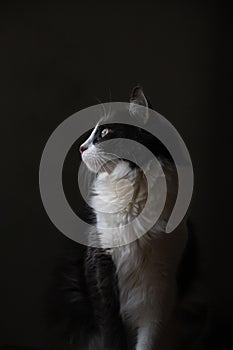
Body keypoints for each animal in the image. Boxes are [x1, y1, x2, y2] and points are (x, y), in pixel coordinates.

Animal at [53, 85, 208, 350]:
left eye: (104, 132)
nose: (81, 148)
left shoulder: (160, 290)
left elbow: (148, 339)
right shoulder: (100, 271)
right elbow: (111, 333)